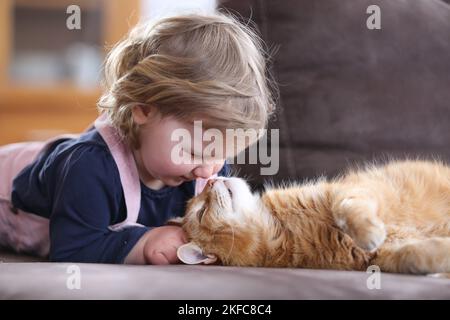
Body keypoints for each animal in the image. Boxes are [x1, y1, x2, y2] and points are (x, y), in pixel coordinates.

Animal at [174, 160, 448, 276]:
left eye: (201, 200)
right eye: (201, 212)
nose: (211, 180)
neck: (285, 230)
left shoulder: (349, 191)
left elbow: (346, 209)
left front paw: (368, 230)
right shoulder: (380, 256)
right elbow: (415, 254)